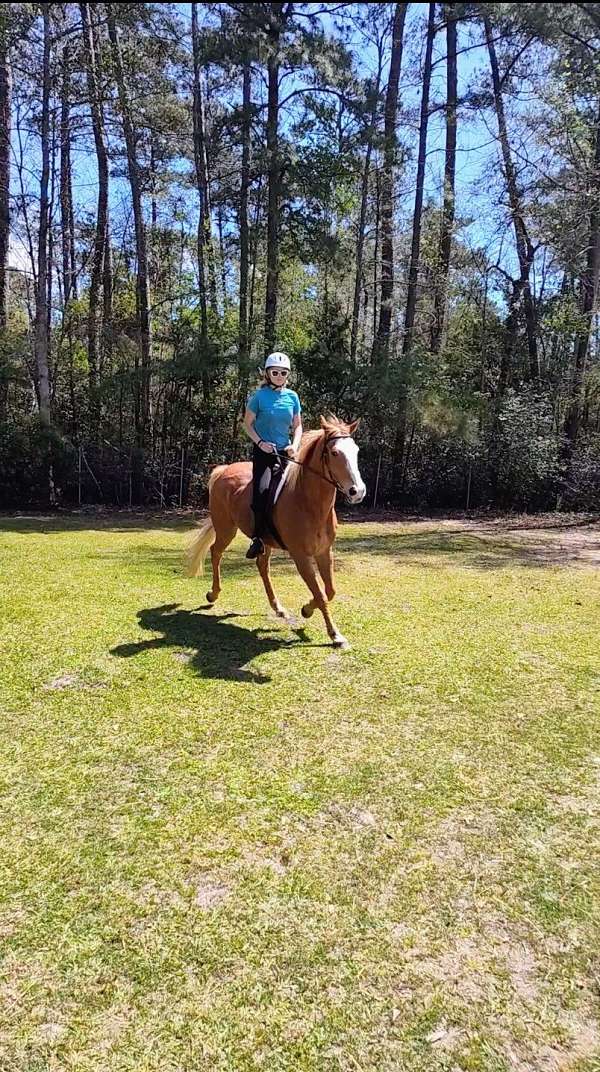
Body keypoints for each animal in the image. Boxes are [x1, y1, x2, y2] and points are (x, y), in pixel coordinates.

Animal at [186, 415, 366, 648]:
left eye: (356, 451)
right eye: (334, 452)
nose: (357, 491)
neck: (308, 503)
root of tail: (223, 470)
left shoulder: (324, 552)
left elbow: (329, 591)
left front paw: (307, 610)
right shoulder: (300, 557)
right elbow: (320, 593)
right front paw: (335, 635)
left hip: (264, 541)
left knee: (262, 566)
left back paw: (277, 607)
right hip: (226, 528)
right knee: (216, 552)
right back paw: (213, 594)